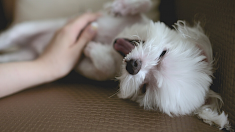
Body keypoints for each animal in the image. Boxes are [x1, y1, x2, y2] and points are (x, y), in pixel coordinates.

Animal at [0, 0, 231, 130]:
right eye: (163, 55)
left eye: (145, 87)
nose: (134, 66)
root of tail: (34, 48)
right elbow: (144, 5)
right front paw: (121, 7)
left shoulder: (95, 70)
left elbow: (101, 66)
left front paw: (93, 49)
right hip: (26, 29)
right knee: (9, 36)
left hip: (25, 55)